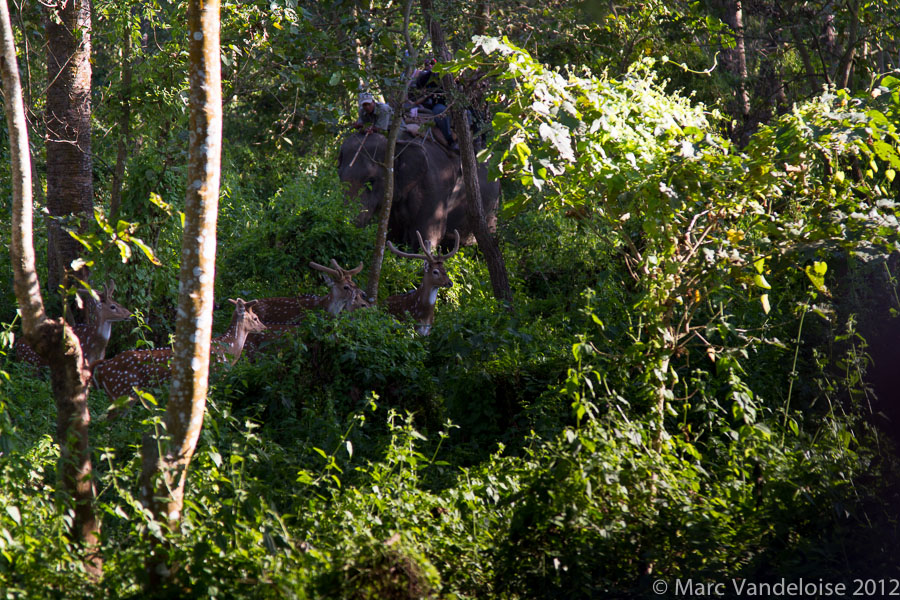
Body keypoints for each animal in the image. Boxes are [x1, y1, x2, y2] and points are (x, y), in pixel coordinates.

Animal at [93, 296, 266, 418]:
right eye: (255, 317)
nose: (264, 328)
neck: (228, 349)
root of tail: (102, 368)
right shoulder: (214, 378)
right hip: (122, 390)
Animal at [338, 131, 500, 251]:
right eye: (339, 176)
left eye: (371, 181)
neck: (399, 143)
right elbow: (393, 237)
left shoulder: (435, 188)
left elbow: (427, 236)